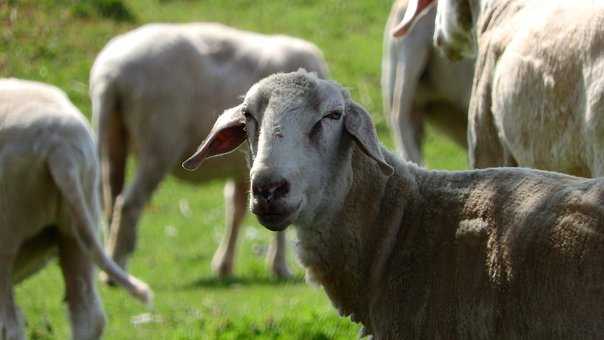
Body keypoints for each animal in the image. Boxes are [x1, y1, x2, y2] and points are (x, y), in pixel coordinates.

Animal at [88, 21, 330, 278]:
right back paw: (119, 265)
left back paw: (112, 266)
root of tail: (110, 75)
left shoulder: (249, 169)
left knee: (110, 199)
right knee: (128, 204)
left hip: (114, 139)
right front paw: (279, 267)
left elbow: (236, 209)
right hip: (158, 143)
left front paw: (224, 266)